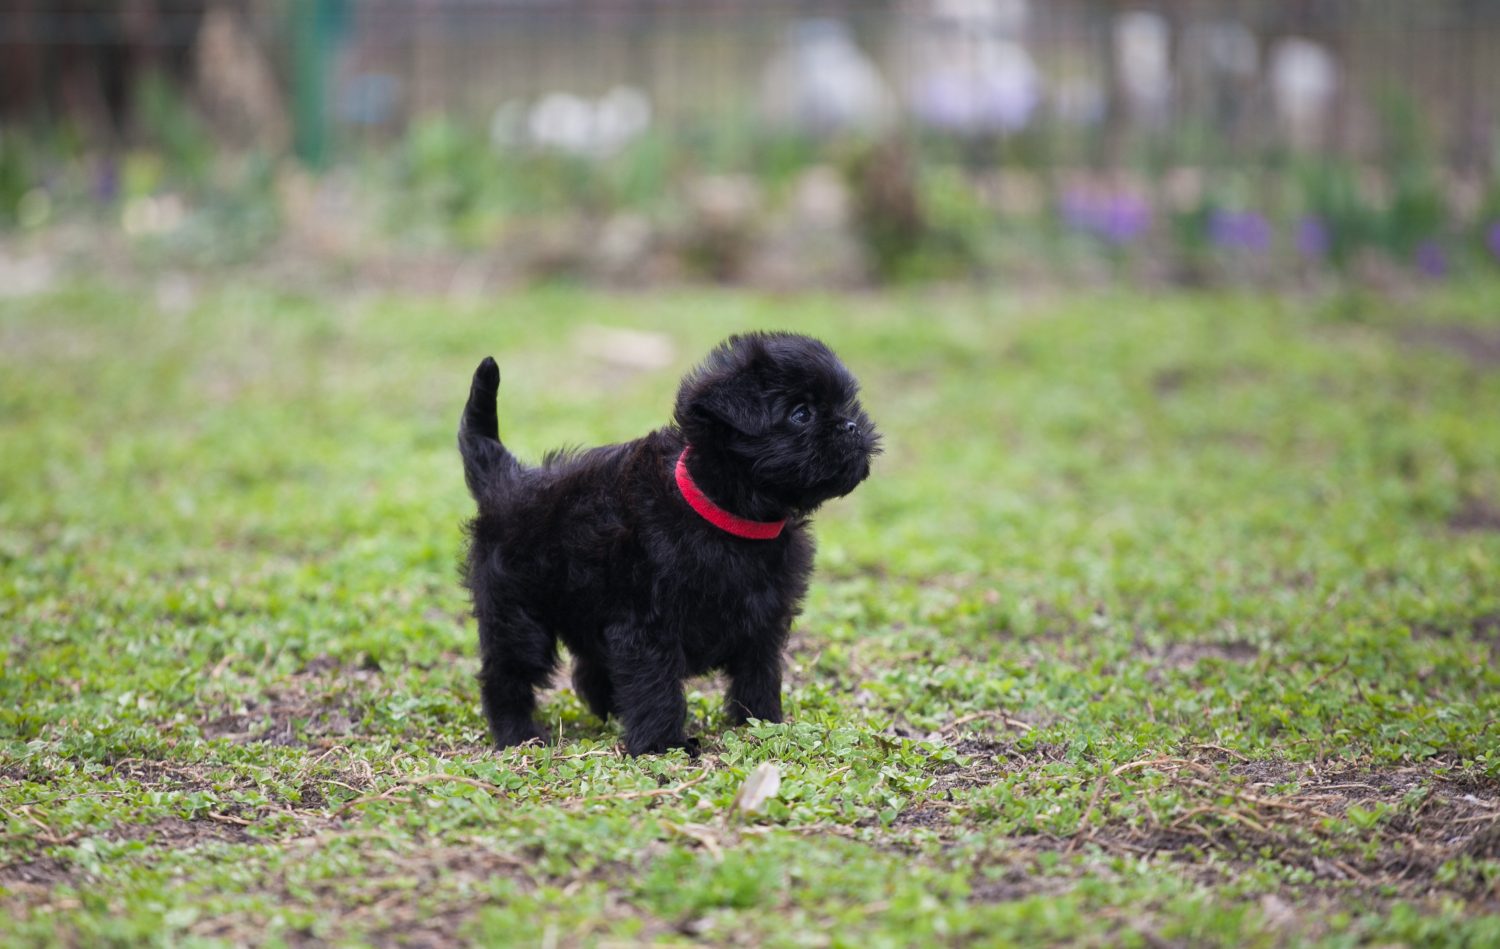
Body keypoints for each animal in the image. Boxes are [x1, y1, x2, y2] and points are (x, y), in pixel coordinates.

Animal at [456, 332, 876, 755]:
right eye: (801, 414)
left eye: (845, 404)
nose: (851, 426)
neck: (725, 514)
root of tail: (506, 476)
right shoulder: (647, 625)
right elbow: (655, 686)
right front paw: (662, 745)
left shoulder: (764, 619)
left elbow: (758, 674)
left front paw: (762, 723)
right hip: (517, 615)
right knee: (507, 674)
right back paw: (517, 733)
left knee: (590, 670)